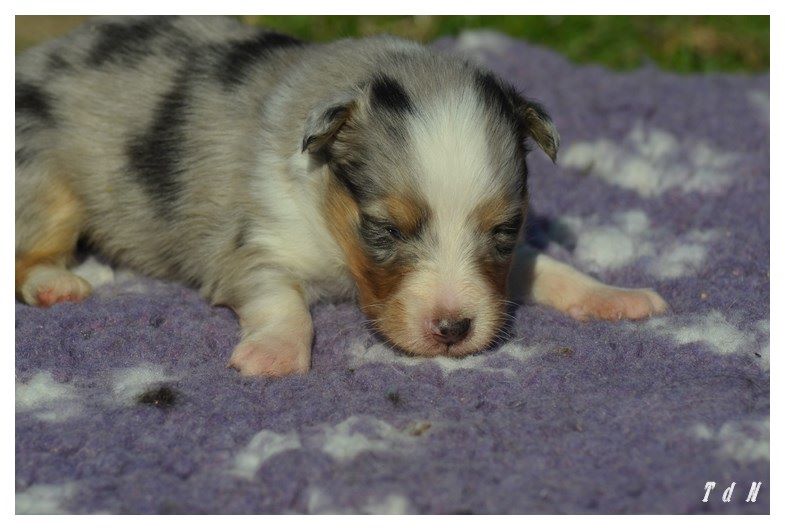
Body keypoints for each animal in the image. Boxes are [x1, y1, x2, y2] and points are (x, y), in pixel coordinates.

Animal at [15, 16, 668, 377]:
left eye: (505, 230)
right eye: (385, 229)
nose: (454, 330)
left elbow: (545, 266)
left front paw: (616, 296)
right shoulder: (250, 247)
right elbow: (282, 300)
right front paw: (274, 355)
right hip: (44, 180)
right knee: (27, 251)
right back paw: (57, 283)